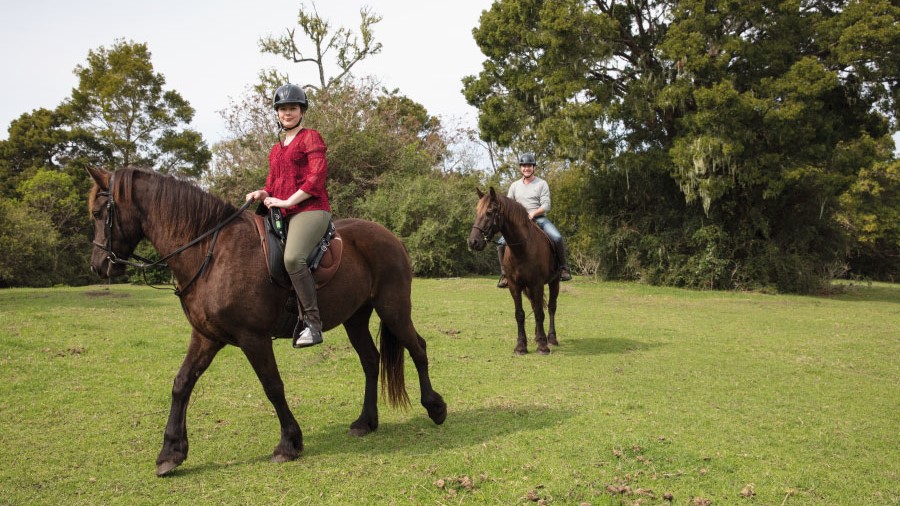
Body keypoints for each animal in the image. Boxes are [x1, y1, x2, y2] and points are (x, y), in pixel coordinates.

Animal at [86, 166, 446, 476]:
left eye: (101, 213)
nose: (98, 264)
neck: (211, 254)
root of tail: (390, 237)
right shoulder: (206, 336)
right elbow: (181, 384)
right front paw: (170, 454)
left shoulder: (253, 338)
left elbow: (272, 386)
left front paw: (289, 443)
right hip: (355, 317)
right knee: (371, 360)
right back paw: (365, 421)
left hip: (393, 308)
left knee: (418, 349)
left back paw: (435, 407)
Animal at [467, 187, 560, 355]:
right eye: (477, 211)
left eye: (489, 212)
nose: (473, 242)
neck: (522, 248)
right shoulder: (514, 286)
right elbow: (520, 314)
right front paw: (521, 346)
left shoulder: (537, 284)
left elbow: (540, 313)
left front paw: (543, 346)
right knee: (535, 306)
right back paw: (537, 336)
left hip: (554, 282)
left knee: (551, 308)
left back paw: (551, 338)